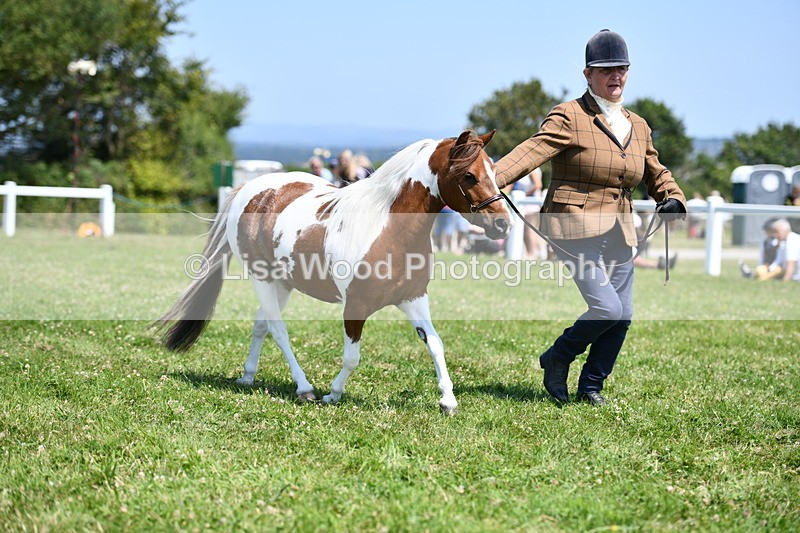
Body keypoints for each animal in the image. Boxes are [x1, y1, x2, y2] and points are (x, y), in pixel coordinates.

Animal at [155, 130, 511, 414]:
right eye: (469, 175)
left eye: (493, 172)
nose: (503, 224)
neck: (387, 229)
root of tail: (249, 188)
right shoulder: (355, 306)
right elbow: (352, 357)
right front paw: (333, 394)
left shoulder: (413, 299)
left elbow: (435, 344)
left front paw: (448, 401)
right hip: (262, 279)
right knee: (277, 329)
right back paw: (304, 388)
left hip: (283, 282)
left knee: (261, 325)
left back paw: (248, 376)